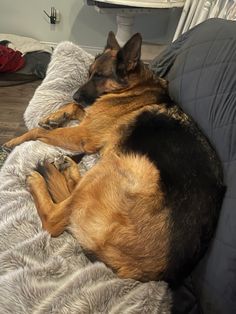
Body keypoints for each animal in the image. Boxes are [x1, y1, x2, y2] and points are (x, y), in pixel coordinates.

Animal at [4, 32, 225, 288]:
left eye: (100, 76)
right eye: (89, 72)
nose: (75, 93)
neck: (134, 88)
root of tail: (150, 273)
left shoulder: (84, 136)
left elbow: (39, 132)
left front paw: (16, 139)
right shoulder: (90, 122)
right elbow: (76, 108)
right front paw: (54, 116)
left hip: (120, 164)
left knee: (56, 219)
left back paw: (38, 181)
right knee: (73, 195)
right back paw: (67, 169)